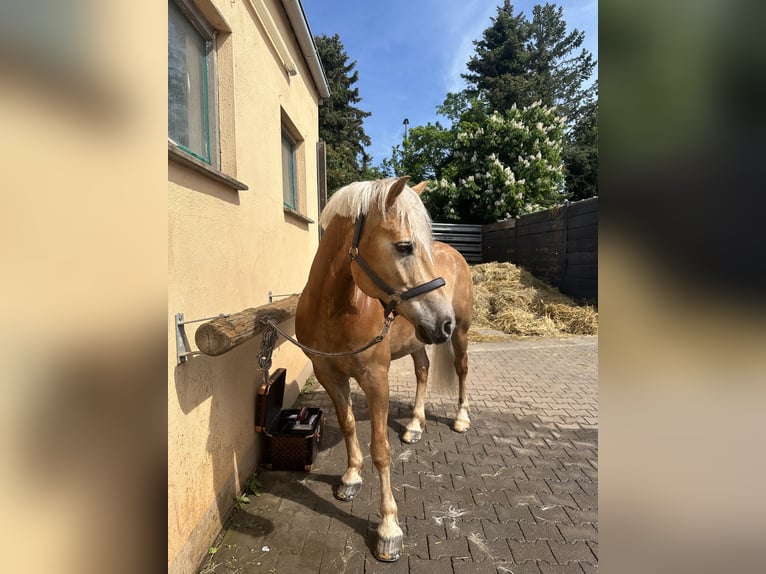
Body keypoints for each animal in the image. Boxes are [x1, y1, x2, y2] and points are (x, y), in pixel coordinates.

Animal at [296, 177, 472, 564]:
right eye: (405, 246)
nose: (443, 322)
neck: (335, 309)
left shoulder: (376, 379)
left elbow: (381, 449)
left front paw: (388, 528)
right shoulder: (328, 374)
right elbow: (348, 424)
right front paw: (350, 478)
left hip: (461, 333)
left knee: (462, 369)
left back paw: (461, 418)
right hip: (420, 338)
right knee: (422, 371)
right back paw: (414, 425)